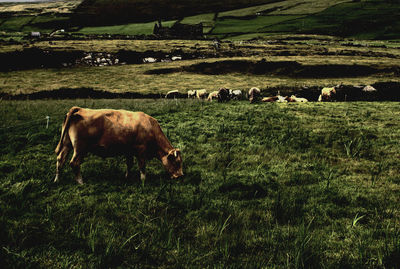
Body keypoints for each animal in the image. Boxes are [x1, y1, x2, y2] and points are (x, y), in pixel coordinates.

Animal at [54, 105, 184, 183]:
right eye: (176, 162)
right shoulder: (141, 150)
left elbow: (129, 164)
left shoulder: (129, 151)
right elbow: (142, 166)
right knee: (74, 163)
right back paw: (80, 182)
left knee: (60, 160)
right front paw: (143, 180)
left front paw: (127, 177)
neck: (150, 126)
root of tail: (80, 109)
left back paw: (57, 180)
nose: (180, 176)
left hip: (66, 144)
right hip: (80, 148)